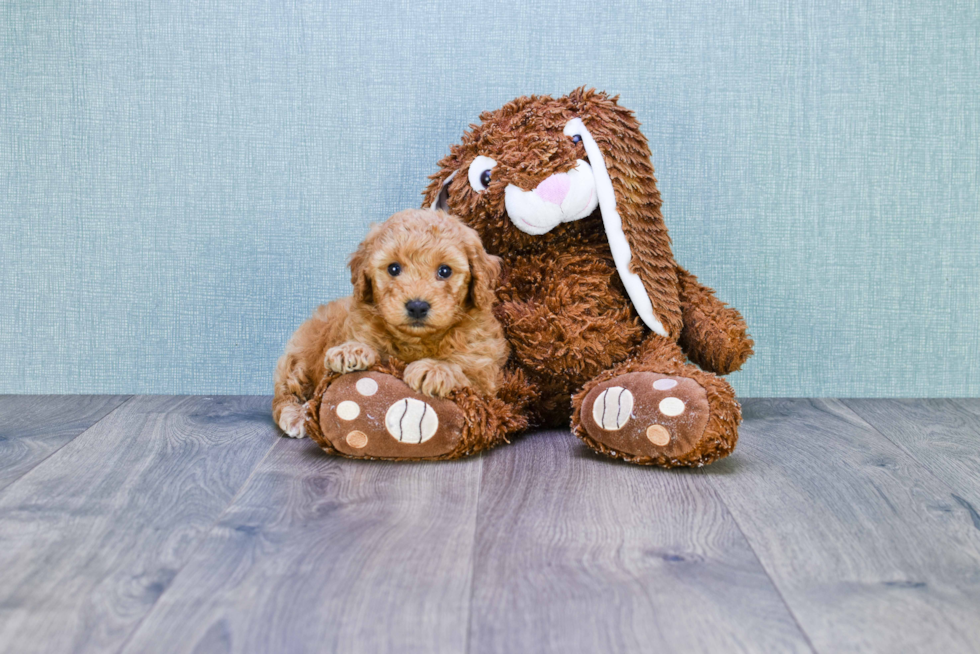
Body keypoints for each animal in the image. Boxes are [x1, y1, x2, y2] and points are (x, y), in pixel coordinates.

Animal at [274, 208, 510, 438]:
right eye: (393, 269)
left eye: (445, 271)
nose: (417, 306)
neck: (416, 341)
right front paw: (351, 351)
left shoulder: (485, 375)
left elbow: (465, 372)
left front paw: (434, 369)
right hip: (299, 355)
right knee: (285, 392)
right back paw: (296, 415)